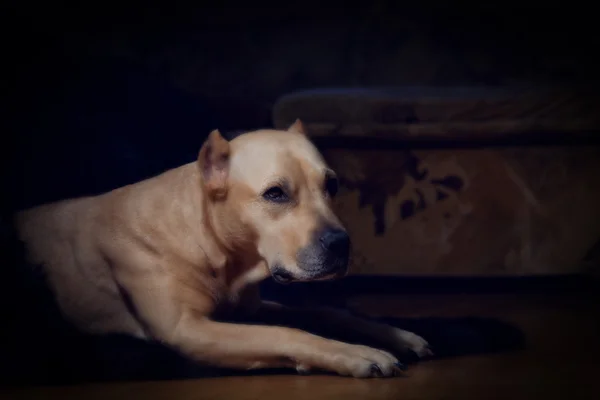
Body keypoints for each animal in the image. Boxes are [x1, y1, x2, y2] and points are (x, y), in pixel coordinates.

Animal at [14, 119, 432, 378]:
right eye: (275, 194)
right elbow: (285, 333)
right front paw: (356, 353)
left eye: (332, 185)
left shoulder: (250, 307)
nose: (341, 244)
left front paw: (397, 335)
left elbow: (325, 311)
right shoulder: (188, 330)